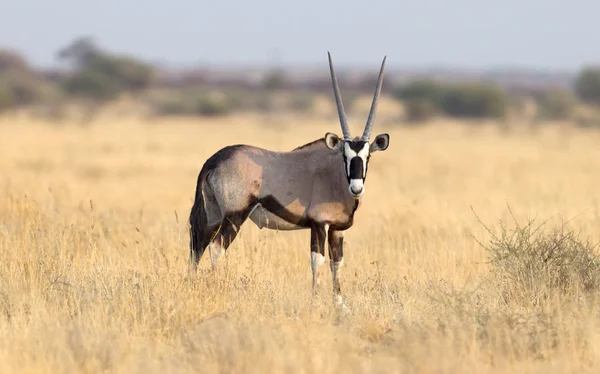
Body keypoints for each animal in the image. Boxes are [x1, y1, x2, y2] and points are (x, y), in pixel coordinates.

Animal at [190, 50, 392, 306]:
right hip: (235, 215)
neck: (336, 178)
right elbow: (318, 261)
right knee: (216, 248)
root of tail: (215, 160)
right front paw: (316, 301)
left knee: (198, 247)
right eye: (345, 156)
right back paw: (218, 287)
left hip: (213, 215)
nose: (356, 188)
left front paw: (339, 304)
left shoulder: (338, 229)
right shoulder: (319, 224)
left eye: (367, 156)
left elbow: (337, 263)